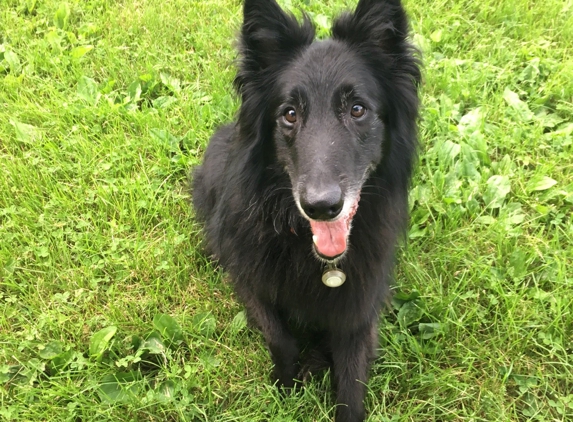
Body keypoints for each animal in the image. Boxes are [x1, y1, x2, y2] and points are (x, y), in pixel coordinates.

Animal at [192, 0, 420, 418]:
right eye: (290, 114)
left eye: (358, 109)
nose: (321, 207)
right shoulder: (248, 278)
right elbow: (279, 336)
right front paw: (286, 385)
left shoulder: (359, 311)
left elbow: (352, 384)